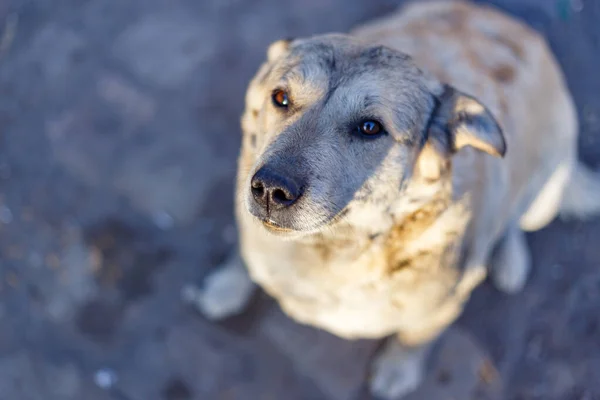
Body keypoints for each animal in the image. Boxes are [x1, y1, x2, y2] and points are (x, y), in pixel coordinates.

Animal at [196, 1, 600, 398]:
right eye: (280, 98)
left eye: (370, 127)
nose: (269, 189)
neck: (333, 249)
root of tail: (524, 29)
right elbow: (244, 252)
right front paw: (227, 284)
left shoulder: (442, 309)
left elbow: (414, 339)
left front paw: (398, 369)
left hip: (543, 199)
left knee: (515, 220)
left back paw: (509, 259)